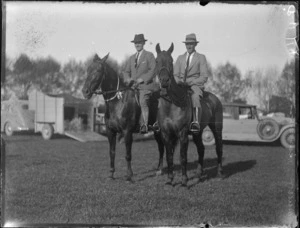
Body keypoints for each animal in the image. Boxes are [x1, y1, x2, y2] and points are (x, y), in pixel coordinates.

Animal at [82, 53, 164, 182]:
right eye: (88, 69)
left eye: (98, 70)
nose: (85, 91)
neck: (118, 102)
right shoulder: (111, 132)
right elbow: (112, 152)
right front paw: (111, 174)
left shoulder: (127, 132)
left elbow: (128, 154)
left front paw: (129, 176)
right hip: (157, 131)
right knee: (161, 147)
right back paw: (159, 170)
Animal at [156, 43, 224, 186]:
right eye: (157, 61)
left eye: (171, 61)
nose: (164, 81)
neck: (171, 104)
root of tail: (215, 99)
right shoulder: (166, 134)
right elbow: (169, 157)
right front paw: (170, 180)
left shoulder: (182, 133)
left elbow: (183, 157)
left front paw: (184, 181)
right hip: (197, 132)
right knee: (201, 149)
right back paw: (198, 175)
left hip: (217, 128)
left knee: (219, 148)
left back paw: (220, 173)